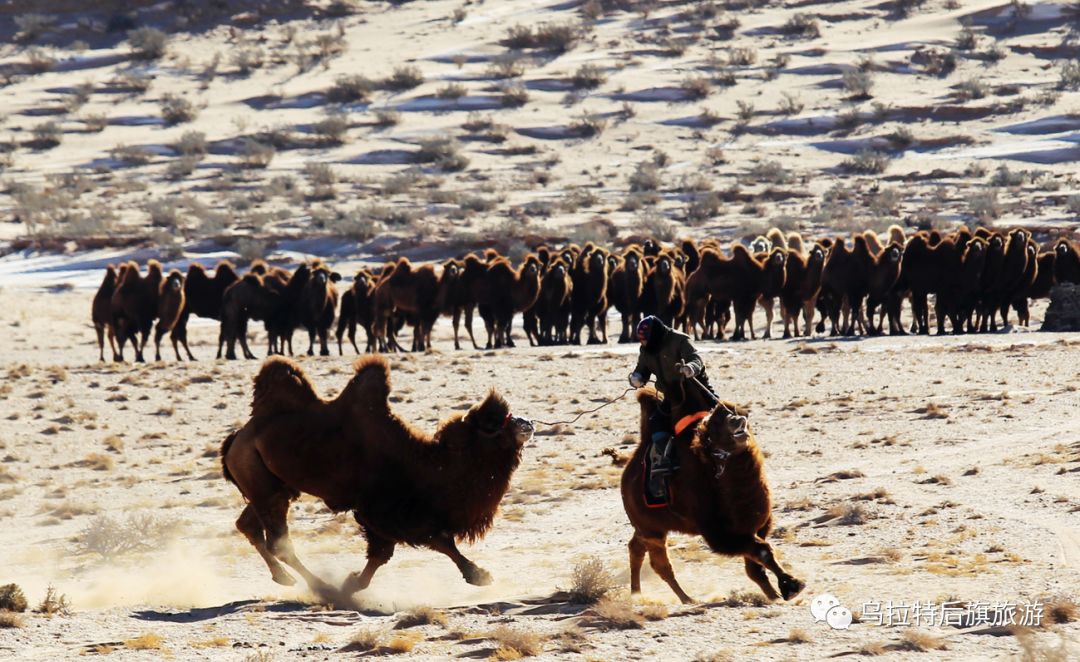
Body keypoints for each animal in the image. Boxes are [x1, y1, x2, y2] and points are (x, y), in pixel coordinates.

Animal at [220, 356, 535, 591]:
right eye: (493, 425)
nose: (528, 422)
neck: (428, 463)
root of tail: (237, 439)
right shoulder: (387, 511)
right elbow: (433, 542)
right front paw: (479, 575)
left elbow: (386, 554)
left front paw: (353, 583)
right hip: (261, 482)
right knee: (279, 542)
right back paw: (322, 586)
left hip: (274, 487)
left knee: (249, 525)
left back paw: (284, 578)